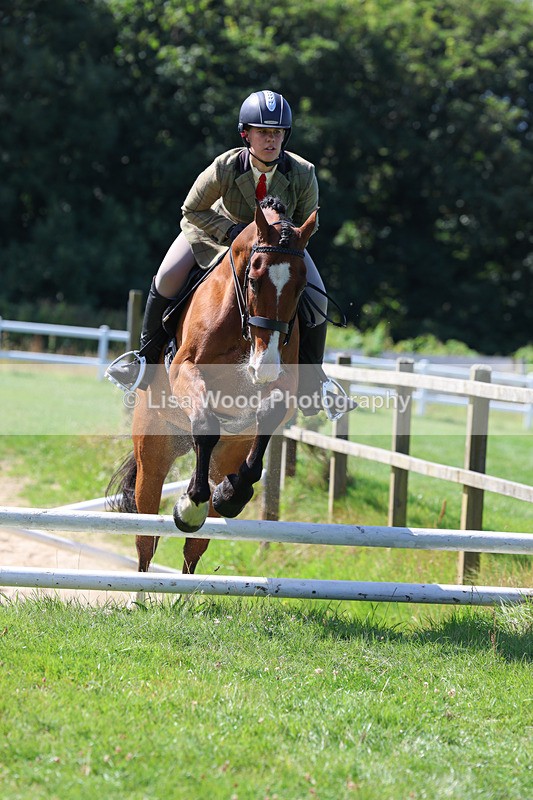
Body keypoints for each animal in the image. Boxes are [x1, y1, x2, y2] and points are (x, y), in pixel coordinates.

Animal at [107, 197, 317, 576]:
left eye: (301, 287)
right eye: (255, 279)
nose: (264, 366)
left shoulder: (282, 382)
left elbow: (268, 413)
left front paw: (231, 493)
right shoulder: (185, 370)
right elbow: (205, 423)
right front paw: (190, 503)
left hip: (226, 453)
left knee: (195, 548)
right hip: (153, 453)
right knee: (146, 537)